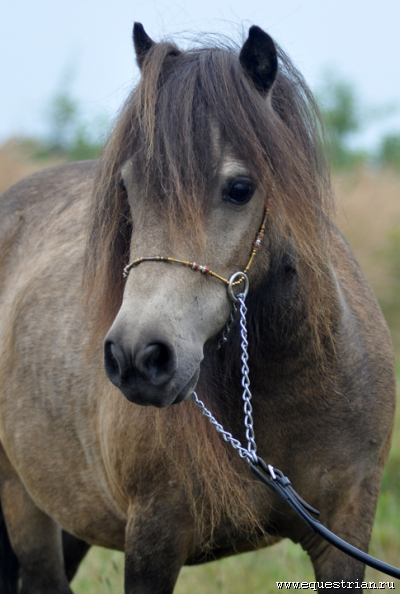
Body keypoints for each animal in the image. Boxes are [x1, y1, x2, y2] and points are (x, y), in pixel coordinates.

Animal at [0, 22, 396, 594]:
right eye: (128, 186)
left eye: (240, 188)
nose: (137, 357)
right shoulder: (154, 536)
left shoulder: (345, 529)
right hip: (25, 507)